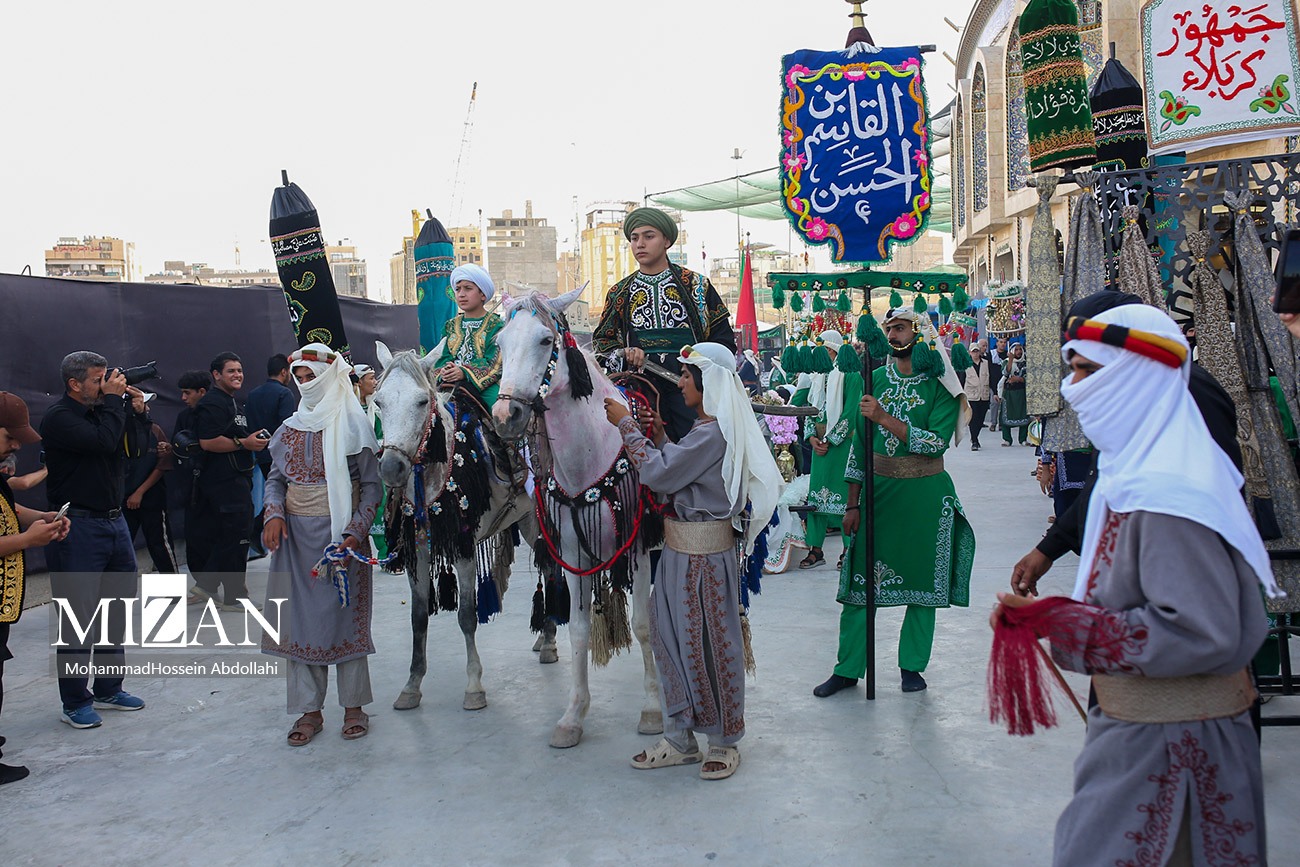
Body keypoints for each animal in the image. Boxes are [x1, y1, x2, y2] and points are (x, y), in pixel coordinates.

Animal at [373, 340, 535, 712]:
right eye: (378, 402)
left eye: (422, 401)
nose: (391, 468)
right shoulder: (416, 551)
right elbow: (418, 616)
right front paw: (412, 684)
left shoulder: (463, 548)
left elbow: (466, 615)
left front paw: (474, 685)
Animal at [491, 287, 663, 749]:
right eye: (501, 343)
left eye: (544, 341)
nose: (506, 417)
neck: (591, 456)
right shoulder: (574, 555)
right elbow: (580, 631)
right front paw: (573, 716)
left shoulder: (639, 548)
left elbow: (643, 624)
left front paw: (652, 709)